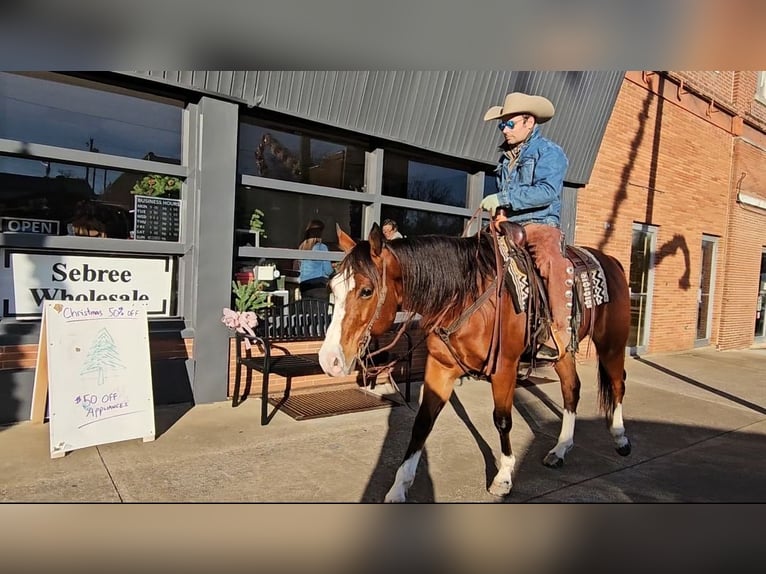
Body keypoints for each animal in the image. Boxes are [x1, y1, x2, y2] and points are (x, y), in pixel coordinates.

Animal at [316, 223, 632, 502]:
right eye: (332, 288)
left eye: (366, 290)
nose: (329, 360)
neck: (463, 296)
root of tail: (611, 261)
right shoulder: (441, 368)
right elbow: (422, 422)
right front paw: (399, 487)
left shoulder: (504, 368)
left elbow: (502, 420)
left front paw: (503, 477)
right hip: (564, 352)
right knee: (571, 390)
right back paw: (561, 448)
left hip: (612, 344)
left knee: (617, 384)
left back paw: (620, 438)